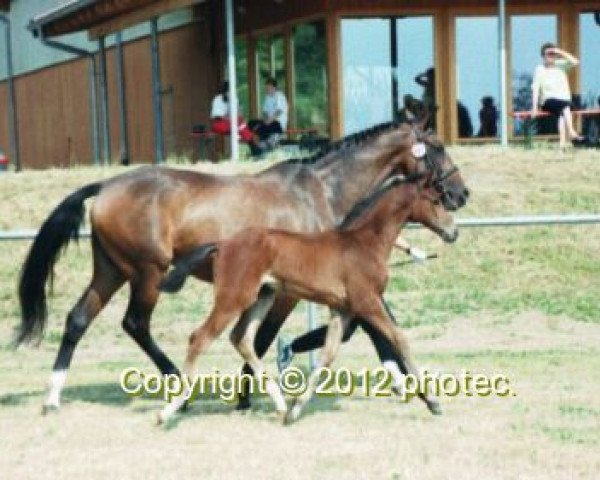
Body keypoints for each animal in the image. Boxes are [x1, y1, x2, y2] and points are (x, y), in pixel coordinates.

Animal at [157, 171, 458, 426]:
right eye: (435, 200)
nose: (453, 232)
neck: (363, 243)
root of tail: (223, 244)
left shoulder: (342, 310)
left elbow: (327, 357)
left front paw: (296, 410)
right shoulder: (367, 302)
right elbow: (399, 338)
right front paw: (433, 402)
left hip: (261, 297)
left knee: (241, 338)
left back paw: (280, 406)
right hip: (234, 298)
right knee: (200, 338)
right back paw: (168, 411)